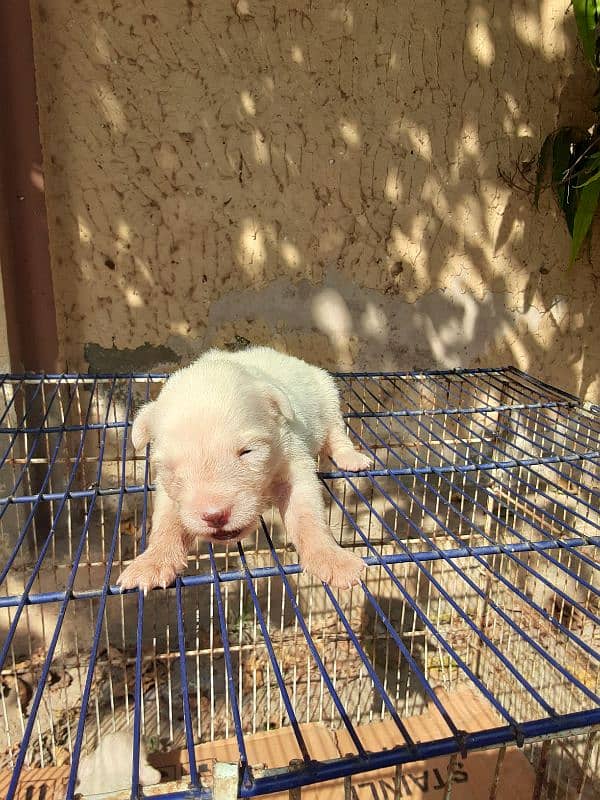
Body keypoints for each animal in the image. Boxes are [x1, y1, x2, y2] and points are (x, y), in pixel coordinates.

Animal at [116, 346, 370, 592]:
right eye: (171, 466)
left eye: (247, 452)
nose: (214, 515)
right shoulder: (167, 488)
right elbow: (166, 519)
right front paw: (152, 562)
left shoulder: (292, 460)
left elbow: (306, 514)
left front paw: (333, 559)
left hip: (327, 395)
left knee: (336, 431)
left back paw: (351, 457)